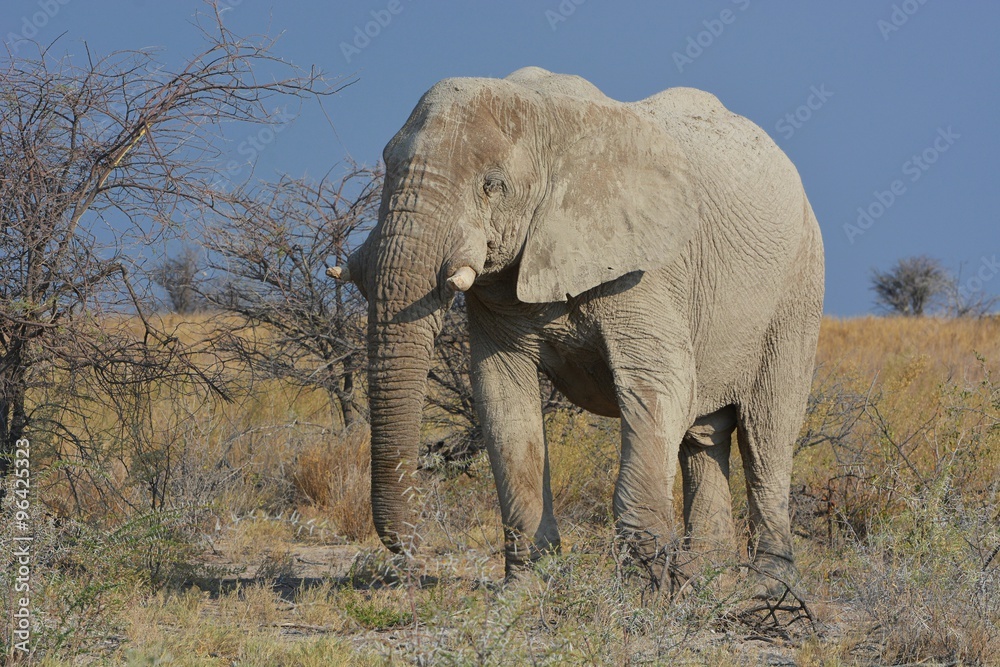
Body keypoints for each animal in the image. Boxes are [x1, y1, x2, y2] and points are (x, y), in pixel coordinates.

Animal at [329, 67, 824, 595]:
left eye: (493, 185)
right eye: (387, 167)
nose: (414, 549)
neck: (546, 117)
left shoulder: (646, 267)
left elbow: (659, 384)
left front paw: (649, 591)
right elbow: (503, 399)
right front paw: (525, 592)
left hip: (798, 288)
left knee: (767, 431)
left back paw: (769, 587)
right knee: (704, 435)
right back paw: (708, 576)